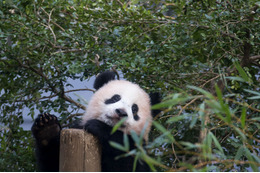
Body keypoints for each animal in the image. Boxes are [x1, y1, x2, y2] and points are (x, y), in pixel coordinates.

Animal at [31, 70, 159, 172]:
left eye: (134, 109)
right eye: (115, 98)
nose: (121, 112)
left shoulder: (137, 150)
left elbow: (127, 162)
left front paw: (97, 126)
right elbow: (52, 163)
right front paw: (47, 128)